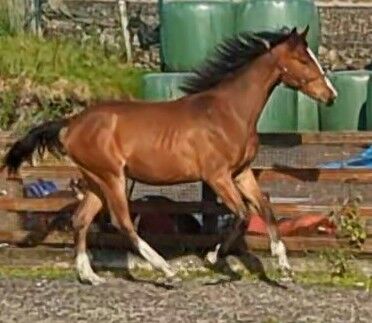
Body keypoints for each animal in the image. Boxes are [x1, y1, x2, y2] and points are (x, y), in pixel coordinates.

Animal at [2, 26, 338, 288]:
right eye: (302, 59)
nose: (331, 96)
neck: (228, 112)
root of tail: (71, 124)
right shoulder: (217, 176)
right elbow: (242, 214)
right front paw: (212, 258)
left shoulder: (241, 173)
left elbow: (265, 208)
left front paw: (285, 268)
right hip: (112, 178)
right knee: (123, 222)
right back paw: (166, 271)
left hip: (96, 180)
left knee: (81, 219)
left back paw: (90, 276)